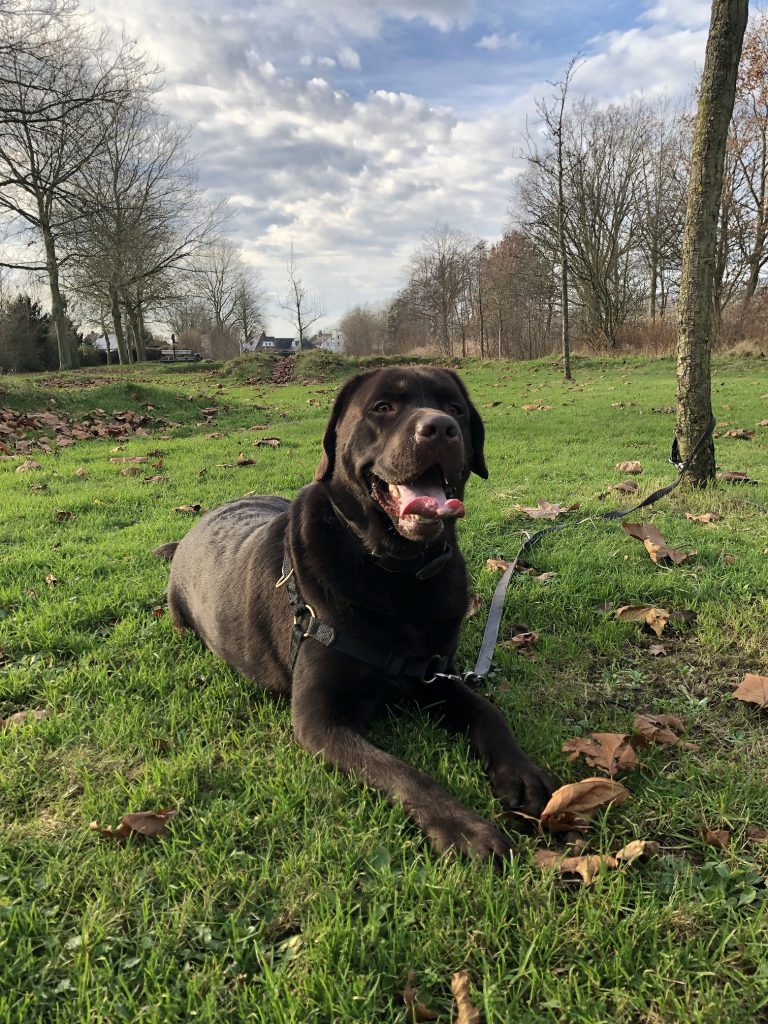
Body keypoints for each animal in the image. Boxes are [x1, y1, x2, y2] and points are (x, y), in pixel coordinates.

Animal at [154, 364, 552, 860]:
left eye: (454, 408)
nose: (440, 428)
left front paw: (521, 771)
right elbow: (403, 772)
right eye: (383, 407)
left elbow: (486, 710)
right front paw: (466, 829)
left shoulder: (434, 674)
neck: (396, 573)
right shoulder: (321, 720)